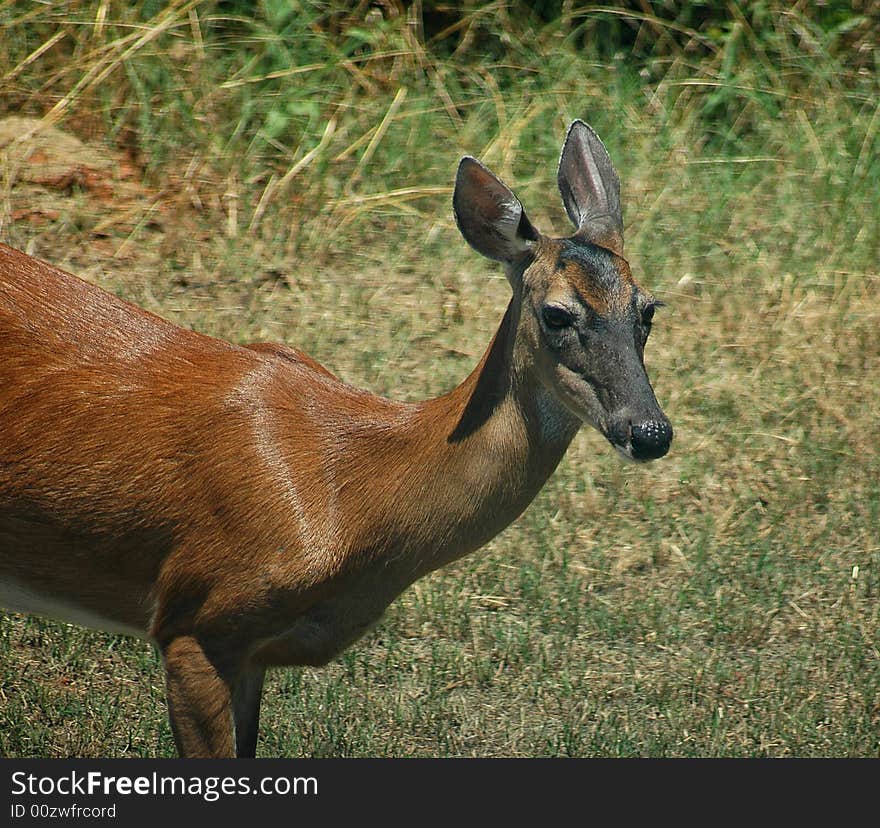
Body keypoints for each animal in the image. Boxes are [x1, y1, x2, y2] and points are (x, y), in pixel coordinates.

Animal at [0, 119, 672, 760]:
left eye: (648, 308)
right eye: (557, 314)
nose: (650, 431)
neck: (348, 498)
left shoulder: (249, 653)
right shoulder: (196, 618)